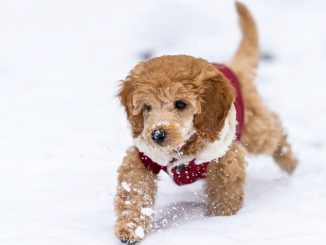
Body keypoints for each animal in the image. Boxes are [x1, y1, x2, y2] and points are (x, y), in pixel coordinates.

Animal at [113, 1, 296, 243]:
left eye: (180, 104)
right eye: (147, 107)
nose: (157, 135)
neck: (182, 150)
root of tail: (233, 67)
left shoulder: (226, 158)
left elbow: (225, 193)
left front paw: (218, 221)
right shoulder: (142, 158)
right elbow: (134, 189)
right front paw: (130, 227)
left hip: (255, 129)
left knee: (274, 129)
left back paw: (289, 162)